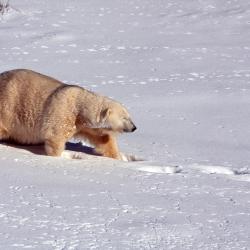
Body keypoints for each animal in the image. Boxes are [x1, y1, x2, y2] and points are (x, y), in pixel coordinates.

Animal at [0, 69, 137, 160]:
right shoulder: (63, 112)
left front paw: (118, 157)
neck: (79, 108)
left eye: (130, 116)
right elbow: (55, 136)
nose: (134, 127)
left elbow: (103, 138)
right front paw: (60, 157)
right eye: (124, 117)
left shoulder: (85, 125)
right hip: (9, 106)